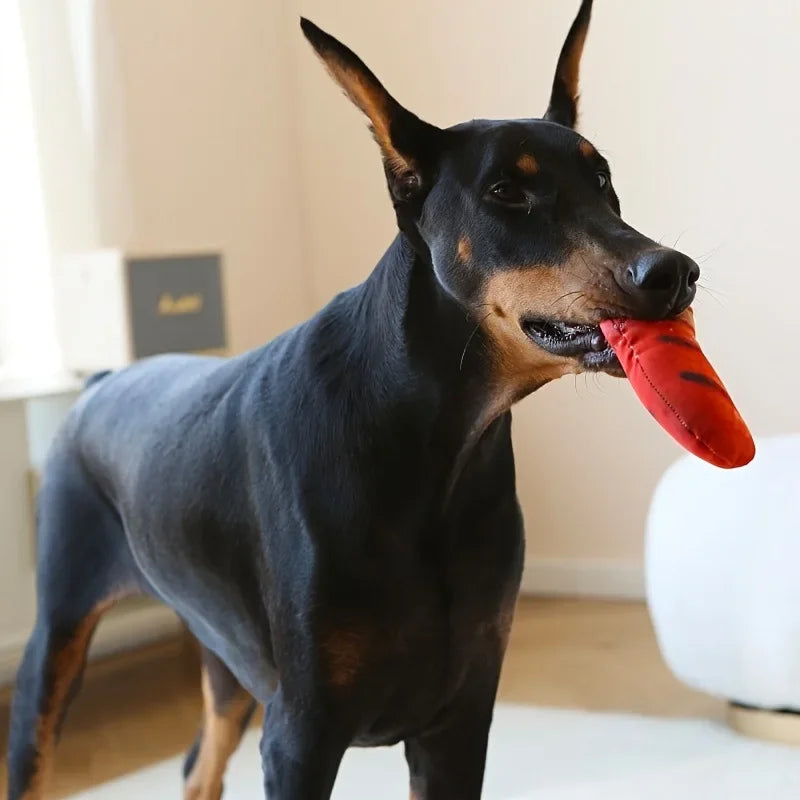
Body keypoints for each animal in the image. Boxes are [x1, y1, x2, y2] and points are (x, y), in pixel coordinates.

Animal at [6, 3, 696, 796]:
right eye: (506, 192)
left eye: (603, 178)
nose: (674, 272)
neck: (431, 442)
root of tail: (101, 381)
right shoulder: (302, 731)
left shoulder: (460, 716)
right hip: (60, 631)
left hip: (226, 650)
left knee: (197, 760)